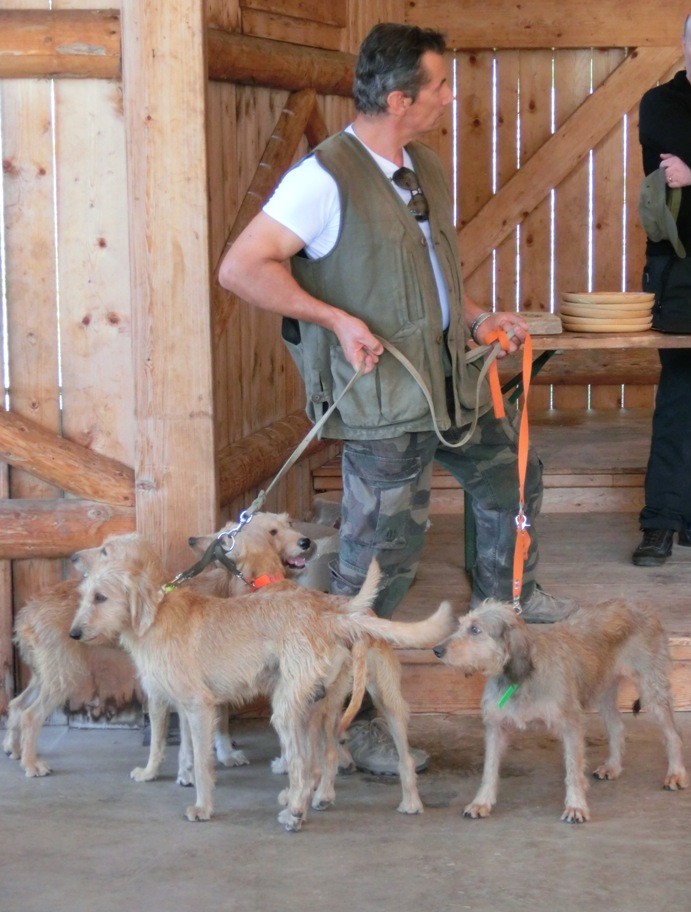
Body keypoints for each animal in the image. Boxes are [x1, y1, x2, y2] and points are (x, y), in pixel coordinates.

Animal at [70, 551, 455, 830]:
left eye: (101, 597)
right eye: (84, 596)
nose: (73, 633)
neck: (154, 614)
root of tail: (332, 616)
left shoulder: (194, 706)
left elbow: (190, 755)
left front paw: (201, 805)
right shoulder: (183, 705)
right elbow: (184, 751)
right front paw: (166, 775)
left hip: (287, 709)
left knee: (302, 763)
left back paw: (295, 812)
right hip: (351, 704)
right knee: (373, 756)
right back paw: (405, 802)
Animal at [433, 598, 688, 823]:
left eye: (475, 630)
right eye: (461, 625)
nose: (436, 650)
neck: (521, 677)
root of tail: (640, 606)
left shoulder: (570, 725)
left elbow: (573, 770)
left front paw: (576, 806)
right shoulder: (496, 727)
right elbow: (489, 770)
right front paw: (481, 802)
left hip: (652, 688)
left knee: (673, 735)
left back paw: (676, 773)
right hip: (603, 690)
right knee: (617, 728)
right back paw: (613, 767)